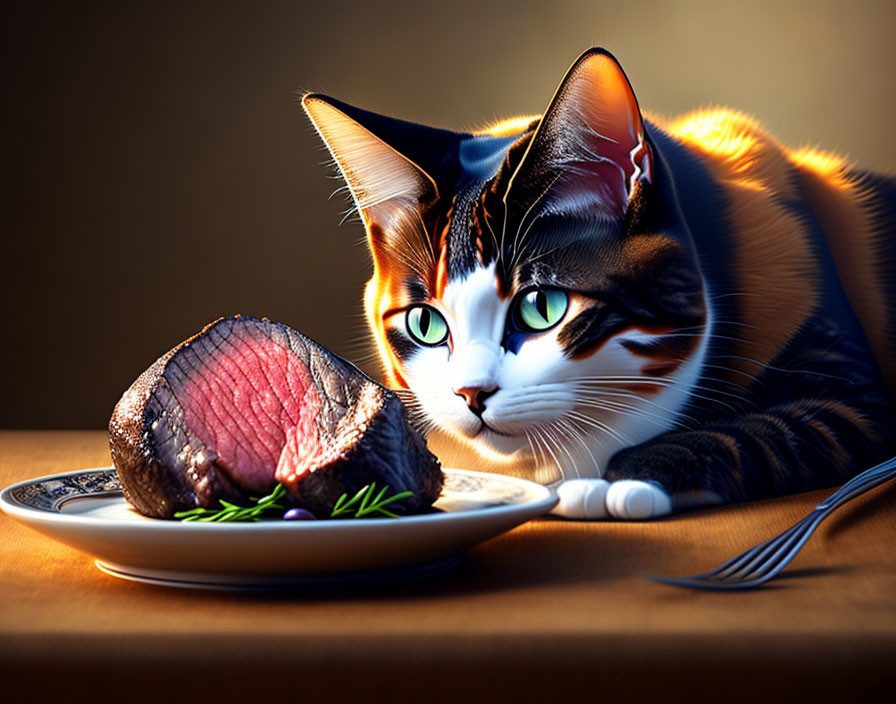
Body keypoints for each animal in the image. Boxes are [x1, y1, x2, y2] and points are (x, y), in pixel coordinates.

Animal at [302, 45, 896, 516]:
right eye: (425, 323)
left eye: (541, 307)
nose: (471, 393)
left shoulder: (853, 389)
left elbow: (770, 430)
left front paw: (626, 476)